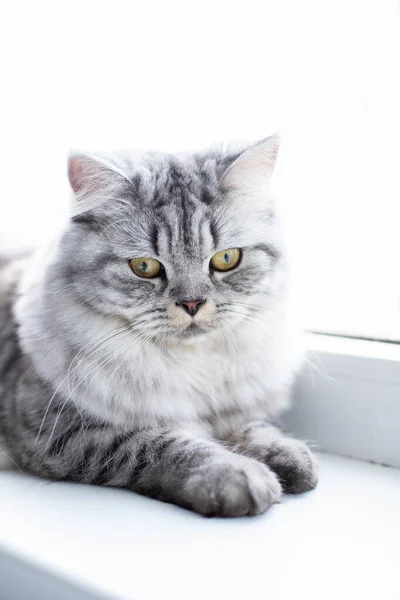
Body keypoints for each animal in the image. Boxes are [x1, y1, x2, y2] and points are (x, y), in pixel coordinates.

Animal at [0, 136, 318, 516]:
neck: (193, 365)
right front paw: (238, 477)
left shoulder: (234, 405)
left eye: (226, 259)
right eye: (145, 267)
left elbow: (252, 428)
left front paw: (288, 458)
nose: (192, 304)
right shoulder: (68, 431)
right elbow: (170, 446)